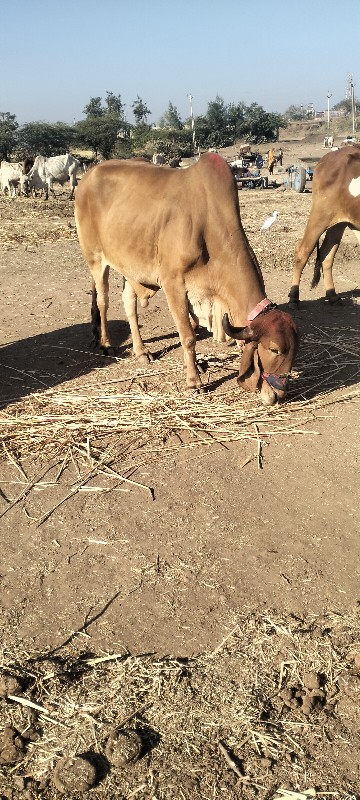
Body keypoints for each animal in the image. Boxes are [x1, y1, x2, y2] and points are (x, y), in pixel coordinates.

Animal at [74, 152, 298, 406]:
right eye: (275, 350)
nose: (279, 395)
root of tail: (88, 175)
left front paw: (198, 367)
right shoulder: (174, 285)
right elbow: (188, 337)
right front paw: (194, 382)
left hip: (129, 266)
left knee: (129, 303)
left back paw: (141, 351)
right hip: (95, 258)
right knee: (103, 301)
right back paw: (106, 344)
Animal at [288, 144, 360, 304]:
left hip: (339, 222)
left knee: (327, 255)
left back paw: (332, 294)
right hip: (320, 214)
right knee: (303, 250)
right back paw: (294, 297)